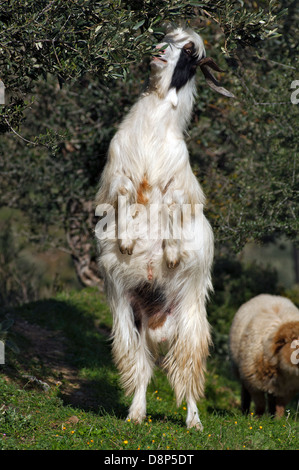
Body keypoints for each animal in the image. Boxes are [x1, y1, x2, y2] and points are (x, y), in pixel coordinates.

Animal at [95, 26, 236, 430]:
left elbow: (173, 212)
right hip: (129, 320)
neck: (153, 132)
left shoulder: (178, 184)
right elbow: (124, 202)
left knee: (185, 373)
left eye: (189, 51)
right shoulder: (120, 174)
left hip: (190, 322)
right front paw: (127, 243)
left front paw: (171, 255)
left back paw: (195, 422)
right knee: (140, 367)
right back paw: (135, 415)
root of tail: (159, 326)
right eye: (167, 36)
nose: (159, 51)